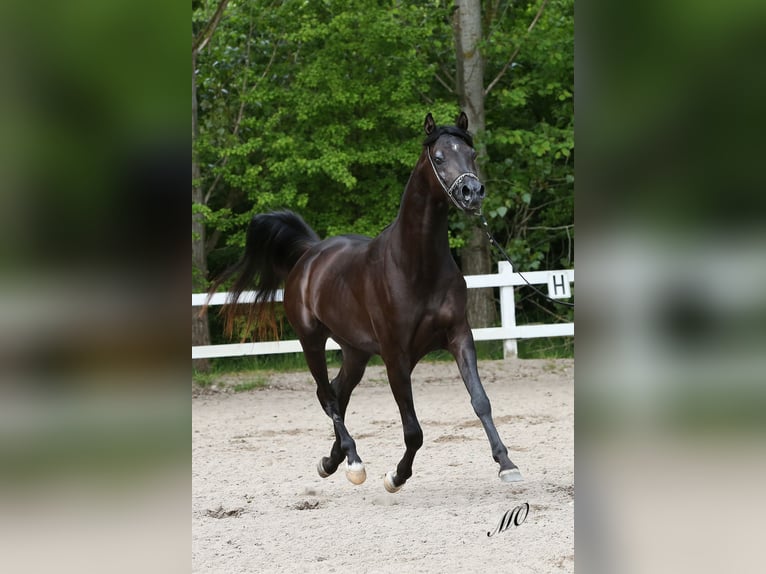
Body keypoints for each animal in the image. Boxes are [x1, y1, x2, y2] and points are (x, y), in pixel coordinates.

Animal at [207, 112, 522, 491]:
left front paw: (507, 464)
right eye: (439, 157)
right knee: (328, 397)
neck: (416, 266)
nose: (471, 192)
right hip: (311, 341)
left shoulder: (459, 337)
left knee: (337, 394)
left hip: (355, 351)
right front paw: (396, 476)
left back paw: (332, 461)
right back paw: (353, 461)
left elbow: (480, 401)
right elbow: (413, 430)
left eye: (471, 154)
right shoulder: (395, 356)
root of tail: (310, 254)